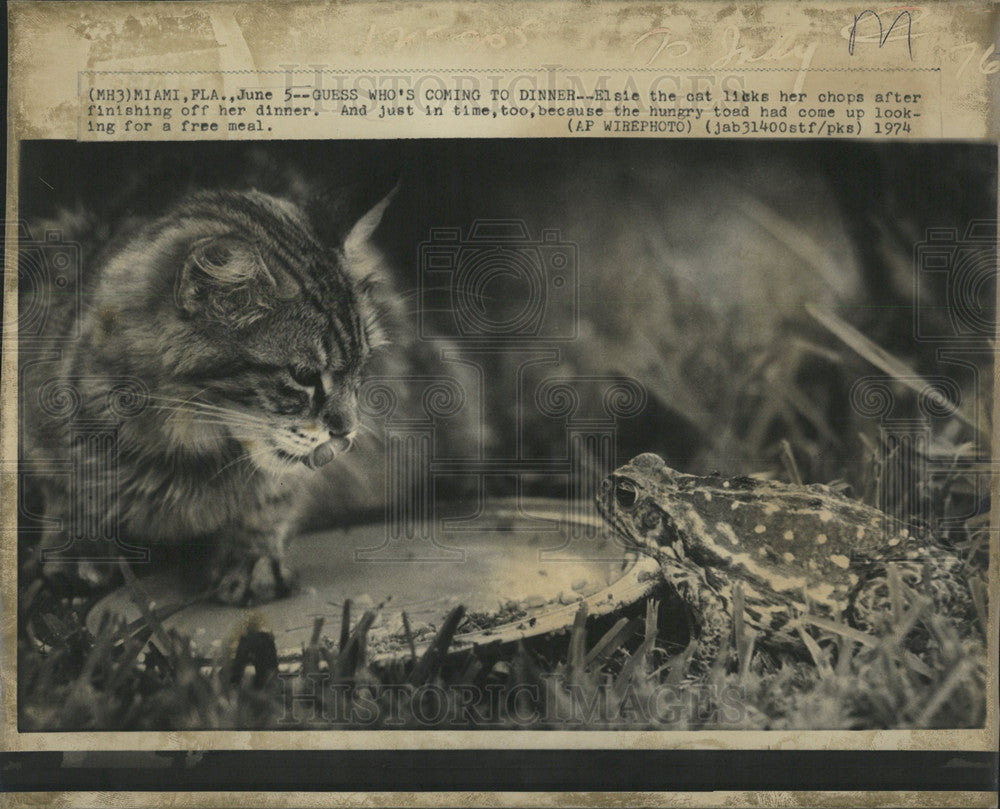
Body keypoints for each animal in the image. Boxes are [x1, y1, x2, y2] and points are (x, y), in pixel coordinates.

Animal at [19, 186, 394, 604]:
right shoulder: (37, 410)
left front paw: (252, 556)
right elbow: (63, 486)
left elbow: (272, 500)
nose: (348, 432)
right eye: (304, 376)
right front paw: (77, 543)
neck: (181, 456)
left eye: (361, 367)